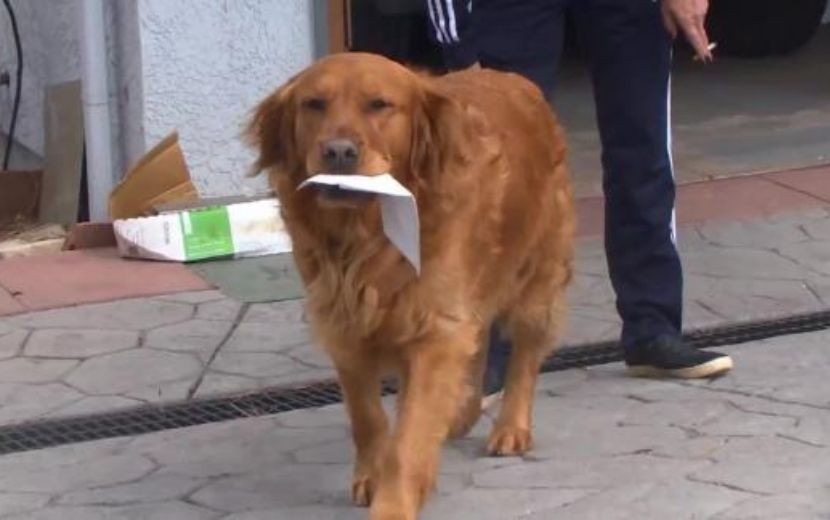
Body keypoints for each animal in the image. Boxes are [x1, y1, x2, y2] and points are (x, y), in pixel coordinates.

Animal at [245, 50, 572, 516]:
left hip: (535, 275)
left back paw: (511, 427)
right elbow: (367, 417)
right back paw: (462, 413)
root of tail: (515, 79)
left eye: (379, 105)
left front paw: (394, 502)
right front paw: (372, 475)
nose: (338, 151)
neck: (365, 238)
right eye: (314, 104)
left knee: (525, 354)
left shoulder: (434, 328)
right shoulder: (345, 326)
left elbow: (410, 434)